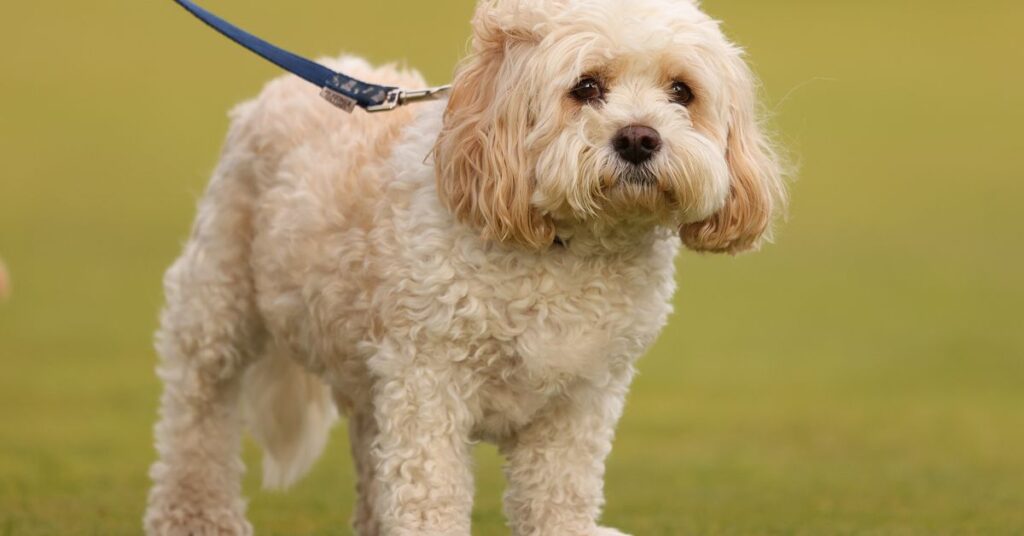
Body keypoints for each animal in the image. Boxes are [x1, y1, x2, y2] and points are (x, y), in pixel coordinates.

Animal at [142, 0, 782, 532]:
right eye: (586, 87)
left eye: (682, 91)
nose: (639, 139)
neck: (569, 250)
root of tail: (315, 74)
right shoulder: (428, 387)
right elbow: (429, 497)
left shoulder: (580, 402)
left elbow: (559, 499)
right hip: (218, 301)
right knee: (196, 409)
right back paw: (196, 515)